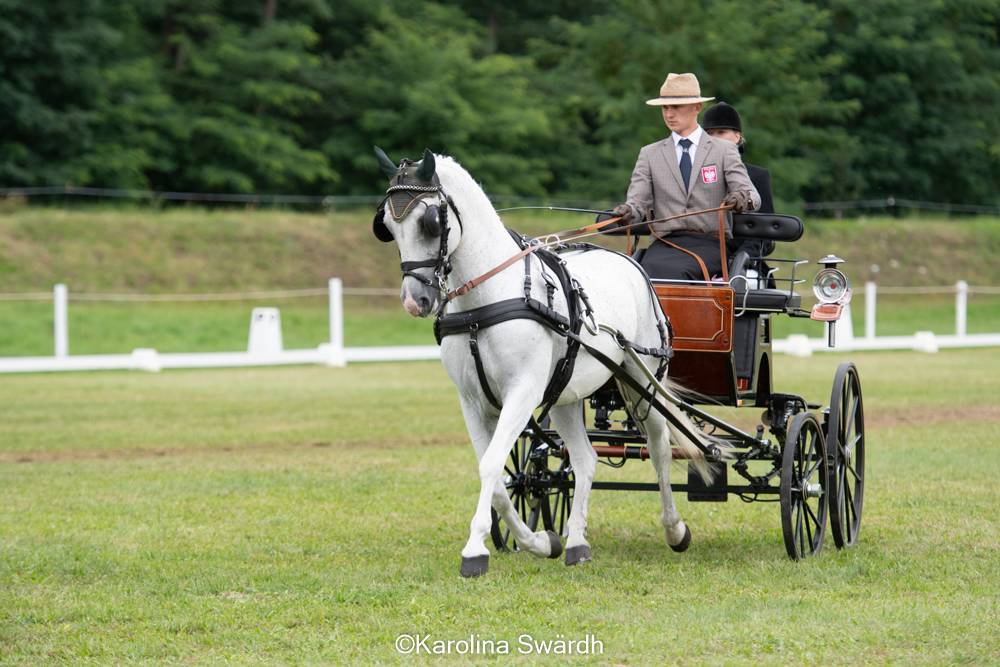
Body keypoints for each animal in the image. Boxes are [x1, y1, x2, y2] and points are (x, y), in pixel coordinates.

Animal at [372, 149, 716, 576]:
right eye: (387, 225)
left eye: (430, 222)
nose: (413, 301)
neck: (486, 301)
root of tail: (630, 263)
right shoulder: (472, 401)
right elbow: (498, 476)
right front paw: (538, 541)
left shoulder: (523, 392)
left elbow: (490, 466)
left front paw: (474, 551)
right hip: (568, 394)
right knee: (585, 459)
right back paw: (577, 542)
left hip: (644, 383)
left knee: (659, 447)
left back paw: (674, 529)